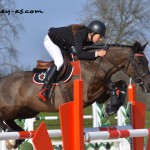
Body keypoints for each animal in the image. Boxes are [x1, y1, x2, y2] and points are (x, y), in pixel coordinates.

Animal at [0, 41, 150, 149]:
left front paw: (111, 107)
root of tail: (2, 80)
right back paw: (12, 138)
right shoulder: (87, 96)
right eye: (139, 62)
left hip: (28, 111)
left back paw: (17, 138)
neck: (94, 65)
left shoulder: (100, 95)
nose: (148, 86)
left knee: (10, 121)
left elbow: (120, 84)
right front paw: (111, 108)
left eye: (146, 62)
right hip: (11, 108)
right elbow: (111, 85)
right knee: (4, 118)